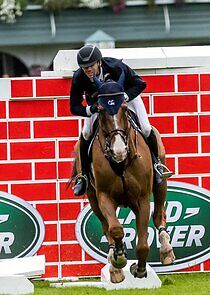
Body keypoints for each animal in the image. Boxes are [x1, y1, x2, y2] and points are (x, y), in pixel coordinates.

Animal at [69, 74, 175, 284]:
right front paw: (118, 260)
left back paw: (166, 249)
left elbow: (142, 244)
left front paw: (139, 269)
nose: (119, 151)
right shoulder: (104, 197)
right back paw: (114, 265)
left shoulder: (142, 198)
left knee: (159, 213)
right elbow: (115, 229)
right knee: (106, 226)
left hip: (160, 183)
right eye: (100, 111)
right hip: (93, 198)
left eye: (124, 108)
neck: (121, 164)